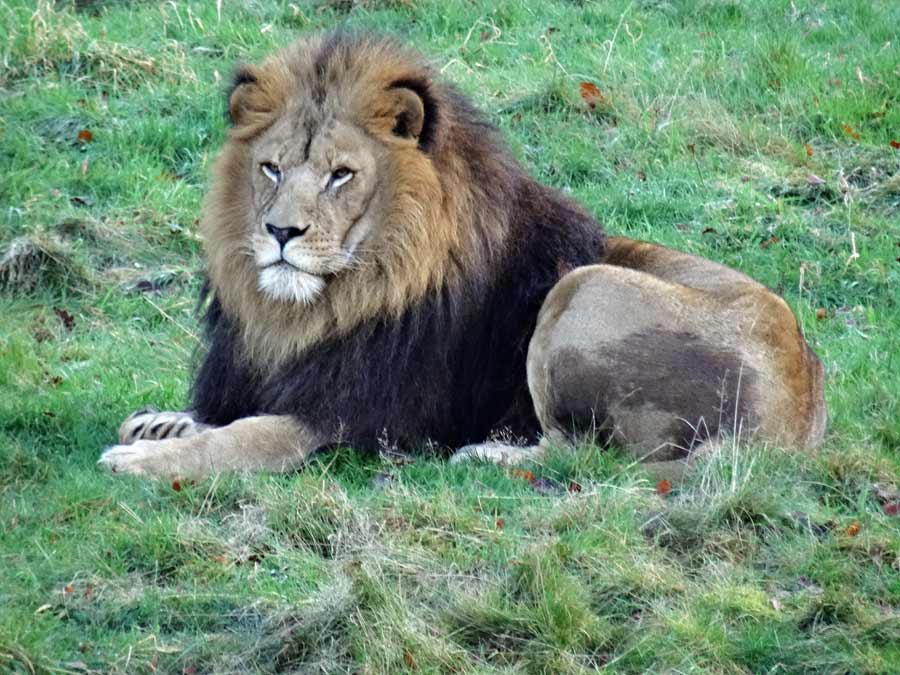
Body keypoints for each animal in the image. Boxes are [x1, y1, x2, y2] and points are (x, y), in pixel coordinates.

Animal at [98, 33, 824, 480]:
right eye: (270, 168)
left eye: (341, 175)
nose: (281, 231)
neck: (313, 311)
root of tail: (797, 420)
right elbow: (228, 413)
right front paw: (163, 424)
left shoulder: (355, 419)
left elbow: (247, 435)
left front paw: (147, 462)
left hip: (582, 289)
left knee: (583, 455)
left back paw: (488, 456)